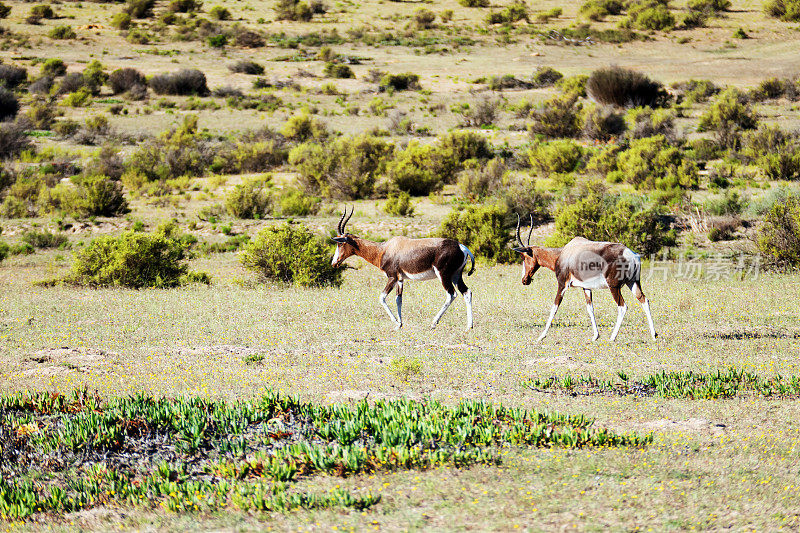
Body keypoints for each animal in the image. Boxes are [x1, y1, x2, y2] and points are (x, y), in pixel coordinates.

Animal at [332, 207, 476, 328]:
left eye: (340, 244)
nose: (334, 263)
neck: (384, 249)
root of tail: (462, 247)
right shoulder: (400, 279)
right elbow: (398, 299)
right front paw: (399, 325)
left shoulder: (392, 277)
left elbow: (382, 297)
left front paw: (396, 322)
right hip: (456, 276)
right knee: (467, 292)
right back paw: (469, 326)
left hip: (444, 275)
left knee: (451, 294)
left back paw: (434, 323)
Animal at [512, 213, 656, 340]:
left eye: (524, 257)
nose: (524, 280)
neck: (564, 252)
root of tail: (631, 255)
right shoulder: (586, 287)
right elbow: (590, 308)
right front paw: (595, 336)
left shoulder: (562, 285)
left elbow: (554, 307)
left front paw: (541, 336)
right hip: (633, 282)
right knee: (644, 300)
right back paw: (654, 335)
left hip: (614, 287)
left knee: (623, 307)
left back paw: (612, 338)